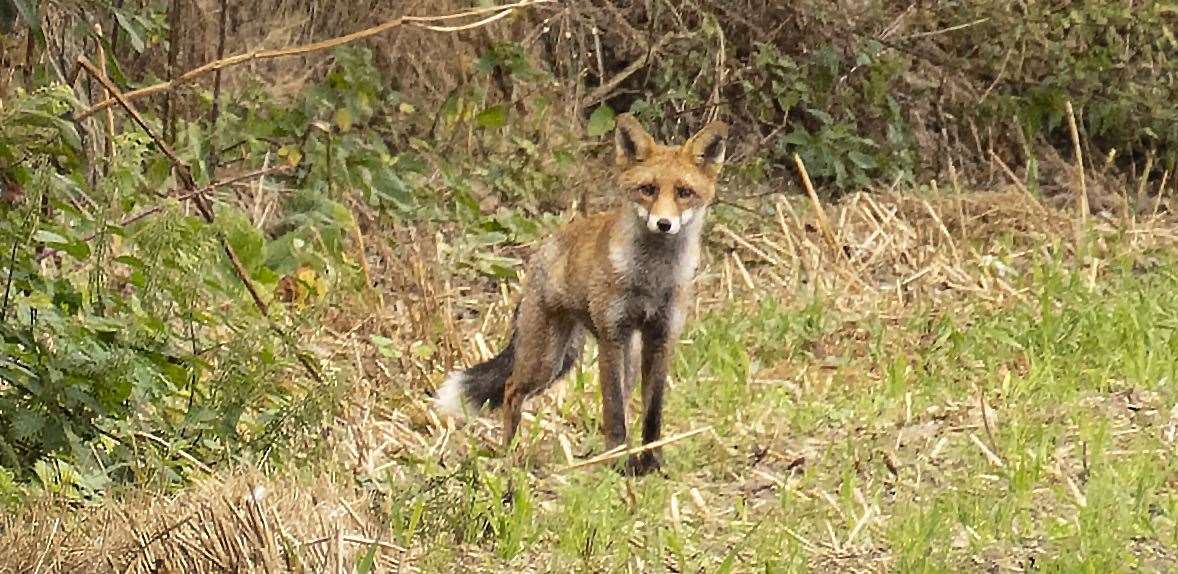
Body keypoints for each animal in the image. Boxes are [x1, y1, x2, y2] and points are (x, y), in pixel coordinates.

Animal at [435, 113, 725, 476]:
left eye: (685, 192)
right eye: (648, 190)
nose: (663, 223)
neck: (651, 281)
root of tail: (544, 249)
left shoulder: (661, 337)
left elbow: (652, 412)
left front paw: (651, 462)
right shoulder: (612, 336)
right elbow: (613, 411)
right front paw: (618, 463)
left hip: (606, 358)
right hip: (548, 360)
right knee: (511, 390)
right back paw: (510, 455)